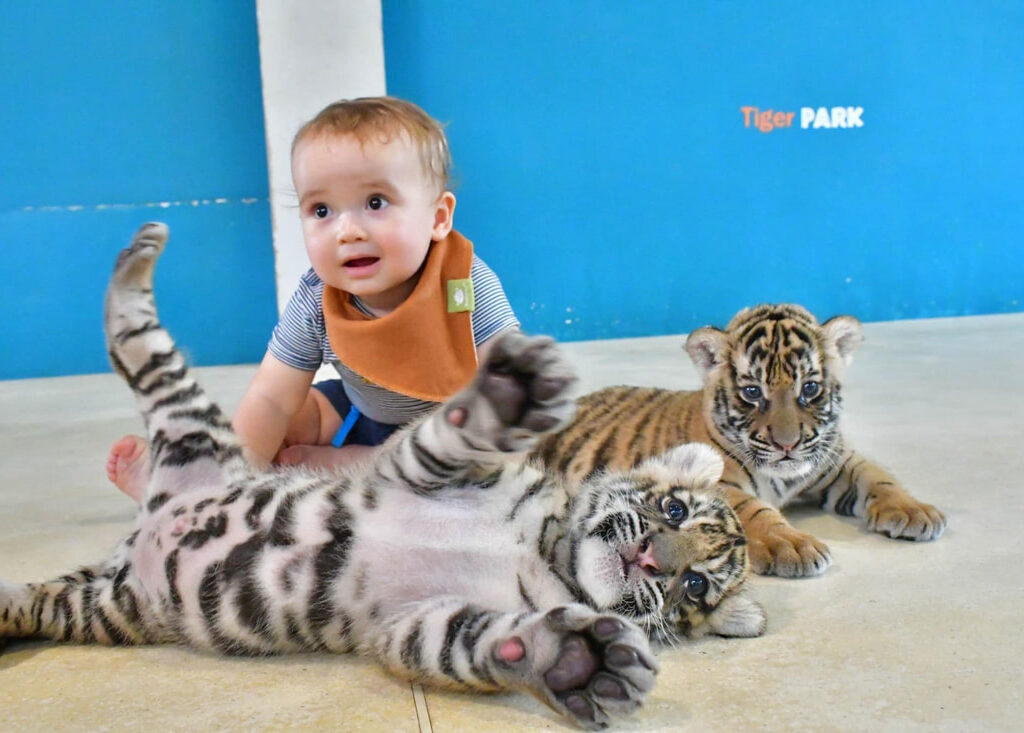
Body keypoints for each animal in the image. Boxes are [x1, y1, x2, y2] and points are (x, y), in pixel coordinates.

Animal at [0, 223, 764, 731]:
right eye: (671, 510)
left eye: (693, 586)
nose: (652, 558)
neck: (545, 549)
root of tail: (146, 527)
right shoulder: (409, 469)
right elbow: (451, 435)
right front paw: (507, 394)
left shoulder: (412, 623)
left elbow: (480, 643)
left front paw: (575, 660)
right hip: (189, 421)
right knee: (132, 334)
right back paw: (139, 254)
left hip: (102, 605)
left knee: (26, 601)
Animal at [533, 303, 947, 578]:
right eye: (752, 393)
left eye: (809, 388)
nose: (787, 445)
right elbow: (754, 509)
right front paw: (792, 545)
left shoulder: (838, 460)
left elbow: (879, 477)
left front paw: (915, 511)